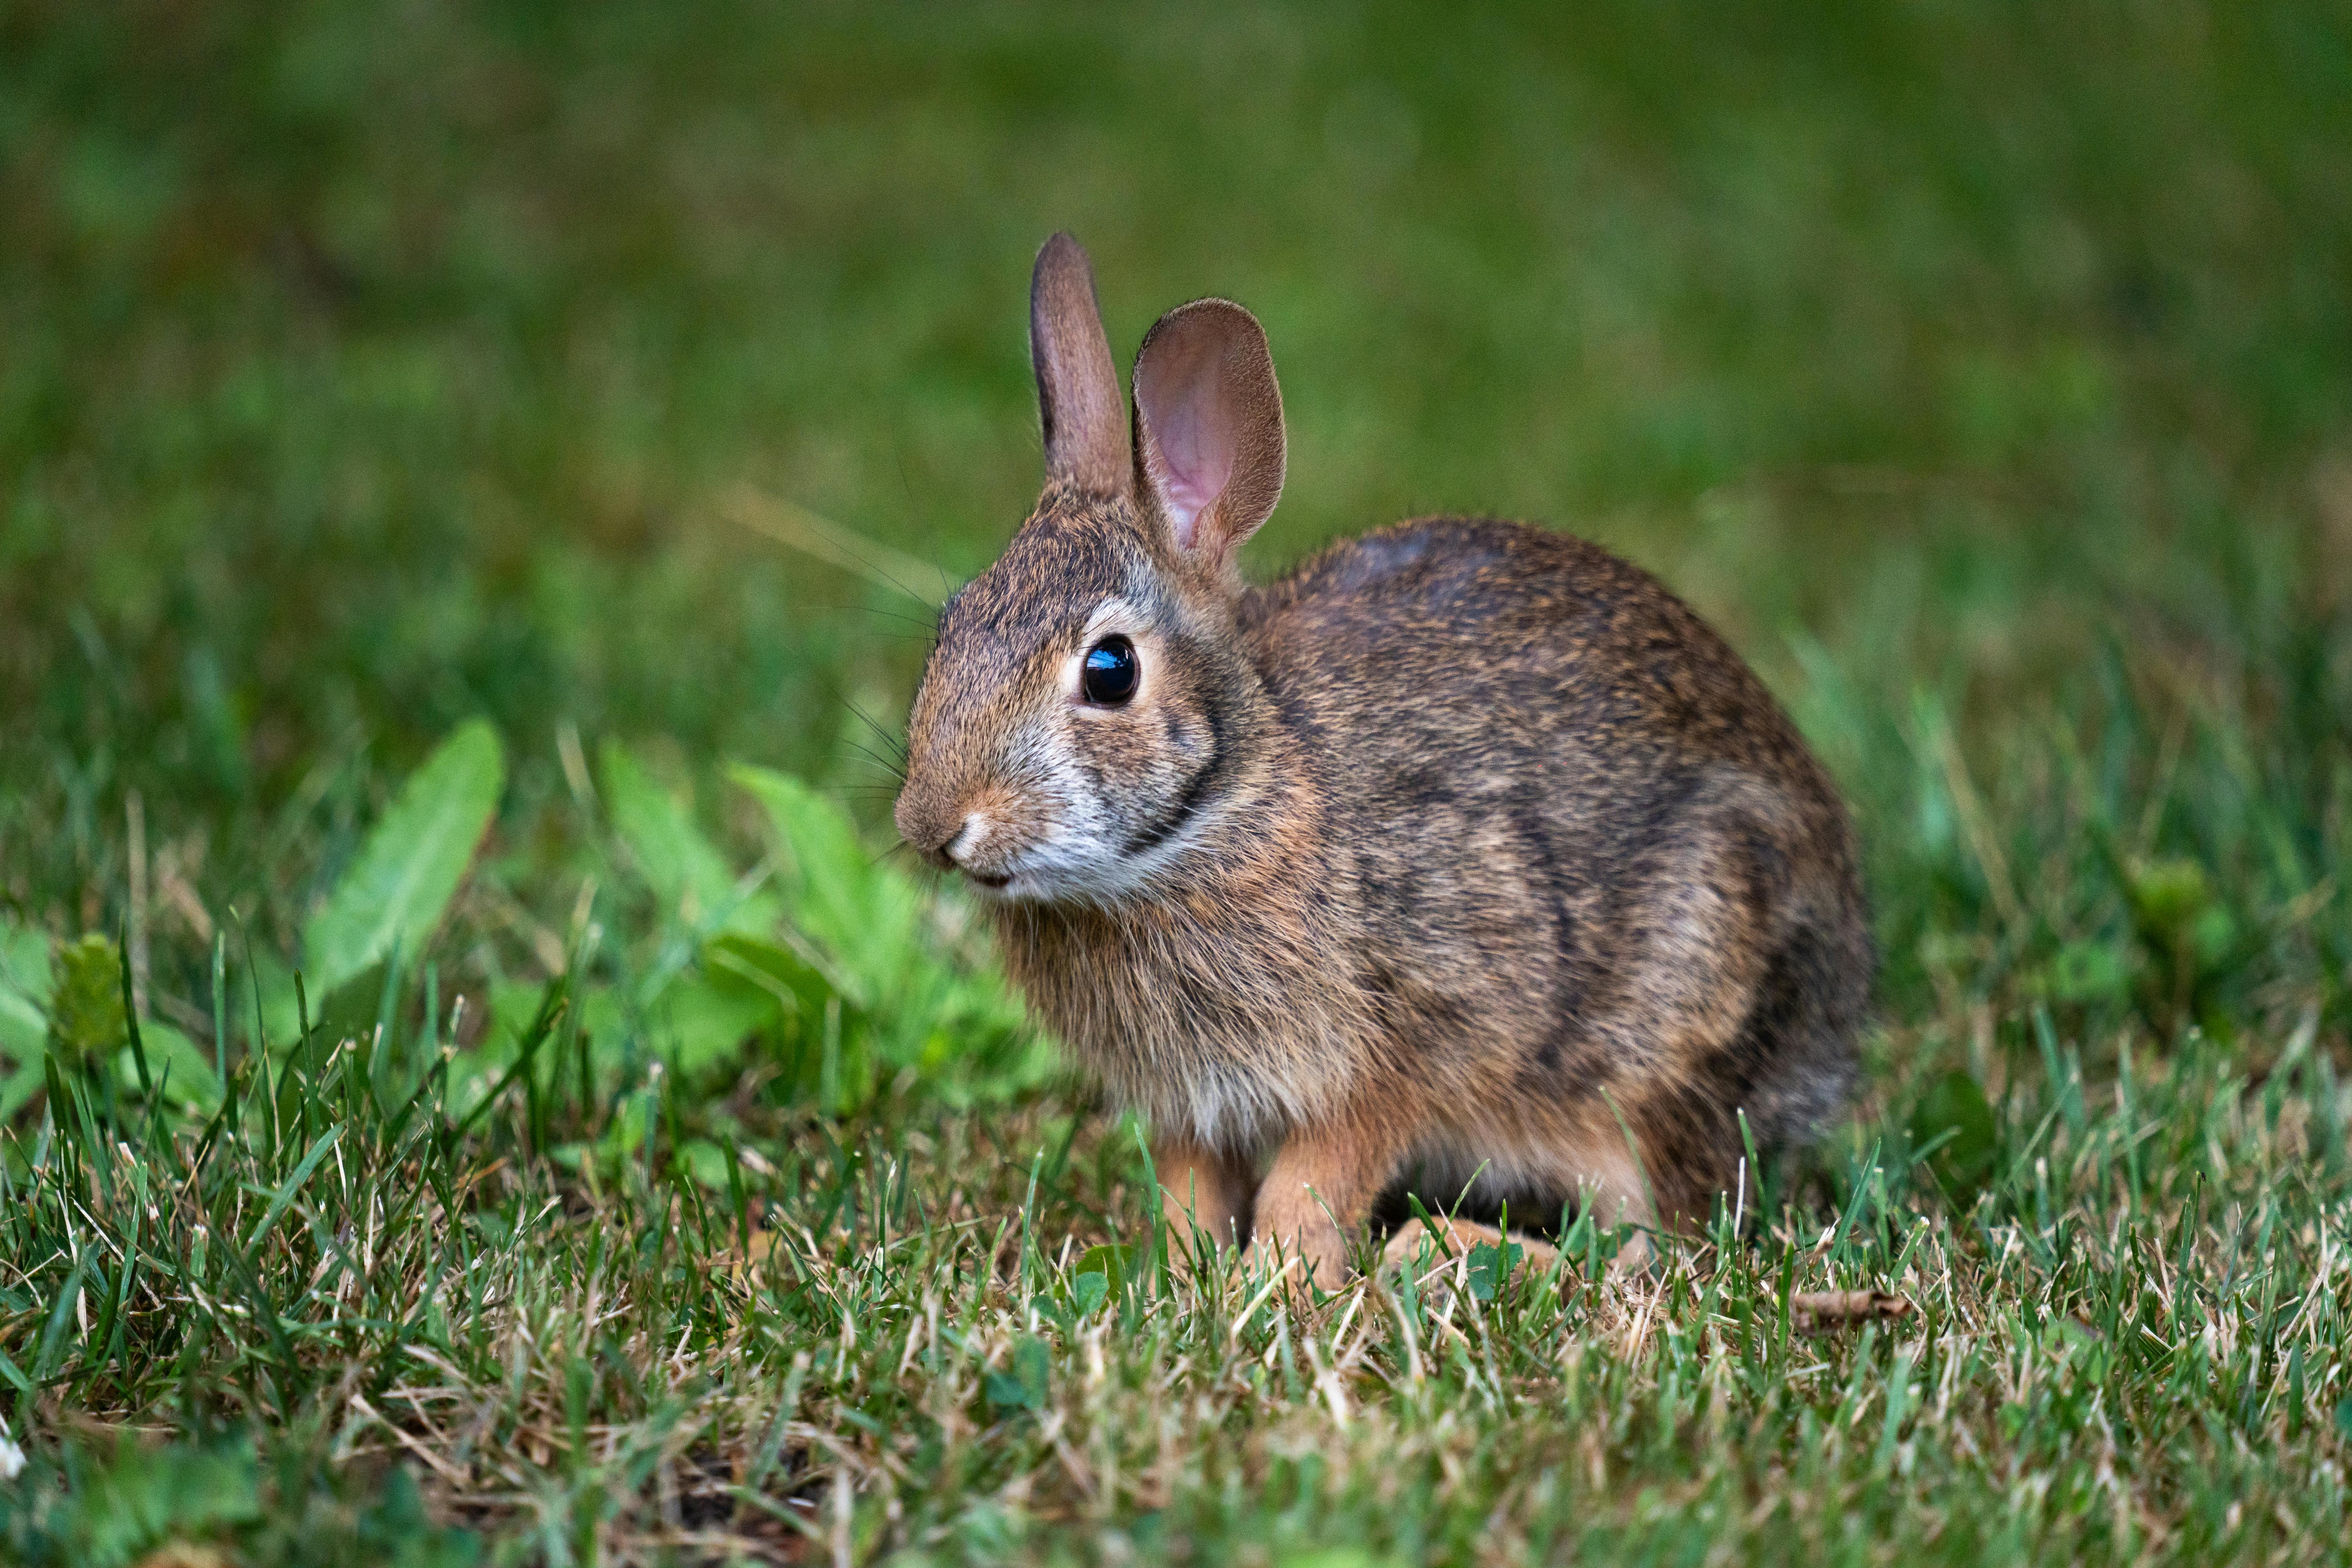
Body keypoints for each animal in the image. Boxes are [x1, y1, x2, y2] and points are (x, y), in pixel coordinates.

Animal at [894, 233, 1872, 1288]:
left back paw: (1446, 1249)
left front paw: (1283, 1282)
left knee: (1653, 1246)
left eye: (1110, 671)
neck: (1222, 811)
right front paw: (1185, 1278)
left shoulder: (1410, 1041)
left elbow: (1319, 1175)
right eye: (952, 625)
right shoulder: (1190, 1106)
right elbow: (1191, 1188)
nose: (934, 826)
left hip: (1666, 1038)